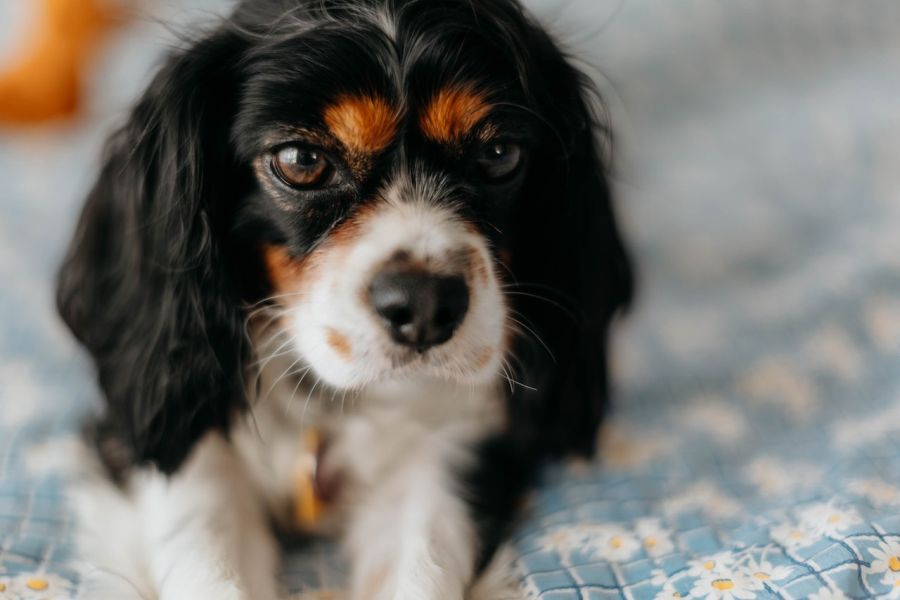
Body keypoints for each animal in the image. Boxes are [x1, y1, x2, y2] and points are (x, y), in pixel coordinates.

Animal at [58, 1, 632, 596]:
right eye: (301, 160)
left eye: (499, 154)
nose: (426, 306)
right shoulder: (166, 432)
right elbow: (204, 537)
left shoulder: (455, 447)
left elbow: (423, 560)